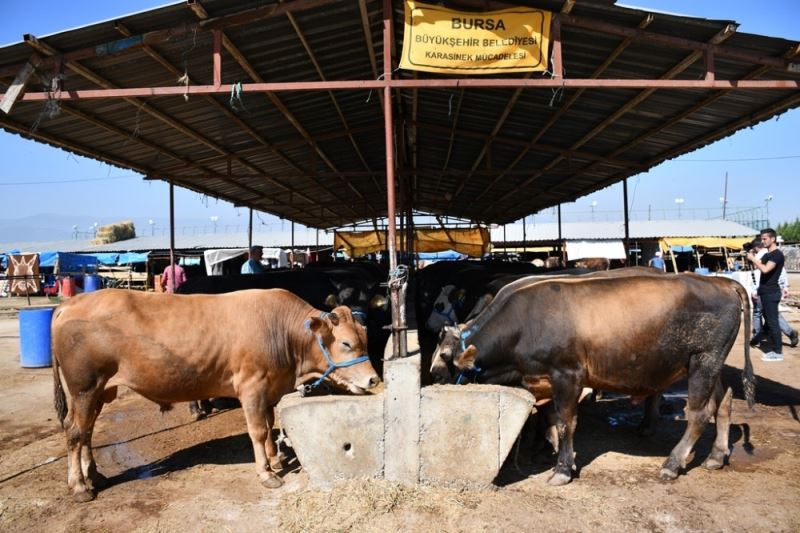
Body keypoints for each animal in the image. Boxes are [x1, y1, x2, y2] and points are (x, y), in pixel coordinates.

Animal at [51, 286, 380, 498]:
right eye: (346, 343)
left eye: (365, 338)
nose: (373, 379)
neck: (283, 334)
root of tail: (71, 303)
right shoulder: (252, 386)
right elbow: (258, 430)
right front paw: (267, 473)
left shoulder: (269, 387)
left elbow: (270, 423)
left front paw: (275, 460)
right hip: (84, 388)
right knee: (75, 431)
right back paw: (79, 486)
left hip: (98, 391)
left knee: (87, 431)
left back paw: (94, 475)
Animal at [432, 274, 752, 486]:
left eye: (445, 357)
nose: (433, 378)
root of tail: (723, 282)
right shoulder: (546, 381)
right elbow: (551, 421)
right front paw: (560, 456)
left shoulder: (567, 374)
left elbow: (565, 422)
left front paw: (562, 469)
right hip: (711, 364)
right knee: (724, 401)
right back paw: (716, 456)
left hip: (703, 360)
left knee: (699, 414)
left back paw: (672, 464)